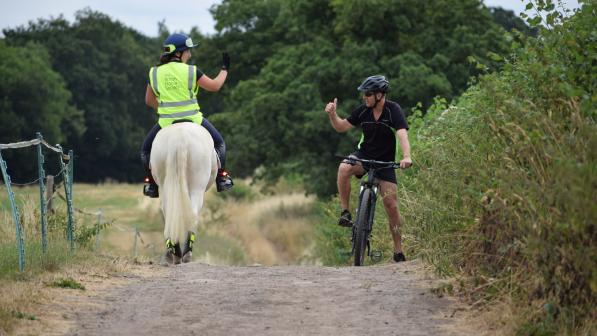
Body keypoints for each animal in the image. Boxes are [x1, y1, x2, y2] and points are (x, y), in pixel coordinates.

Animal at [149, 122, 217, 264]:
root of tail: (180, 138)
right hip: (197, 187)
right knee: (192, 215)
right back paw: (184, 254)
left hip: (165, 185)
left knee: (169, 212)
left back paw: (175, 251)